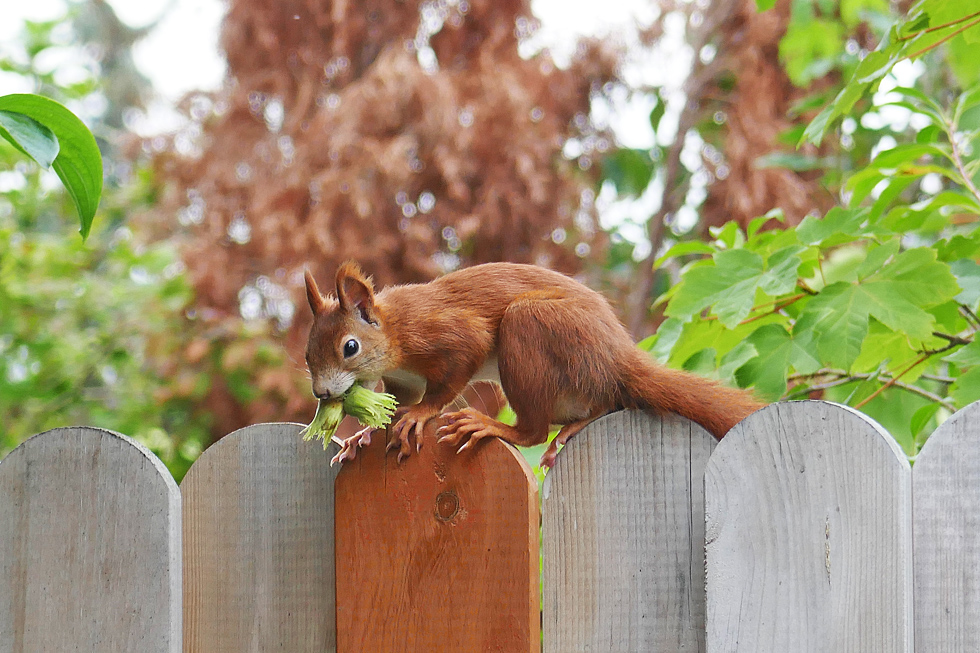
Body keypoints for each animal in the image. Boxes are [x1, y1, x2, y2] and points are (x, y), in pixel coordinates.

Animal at [302, 262, 760, 466]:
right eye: (308, 355)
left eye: (350, 347)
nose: (322, 393)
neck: (395, 329)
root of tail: (617, 356)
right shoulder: (403, 378)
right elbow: (395, 402)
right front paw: (361, 434)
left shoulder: (447, 334)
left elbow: (448, 381)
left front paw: (420, 415)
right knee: (602, 405)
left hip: (532, 326)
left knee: (535, 430)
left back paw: (495, 427)